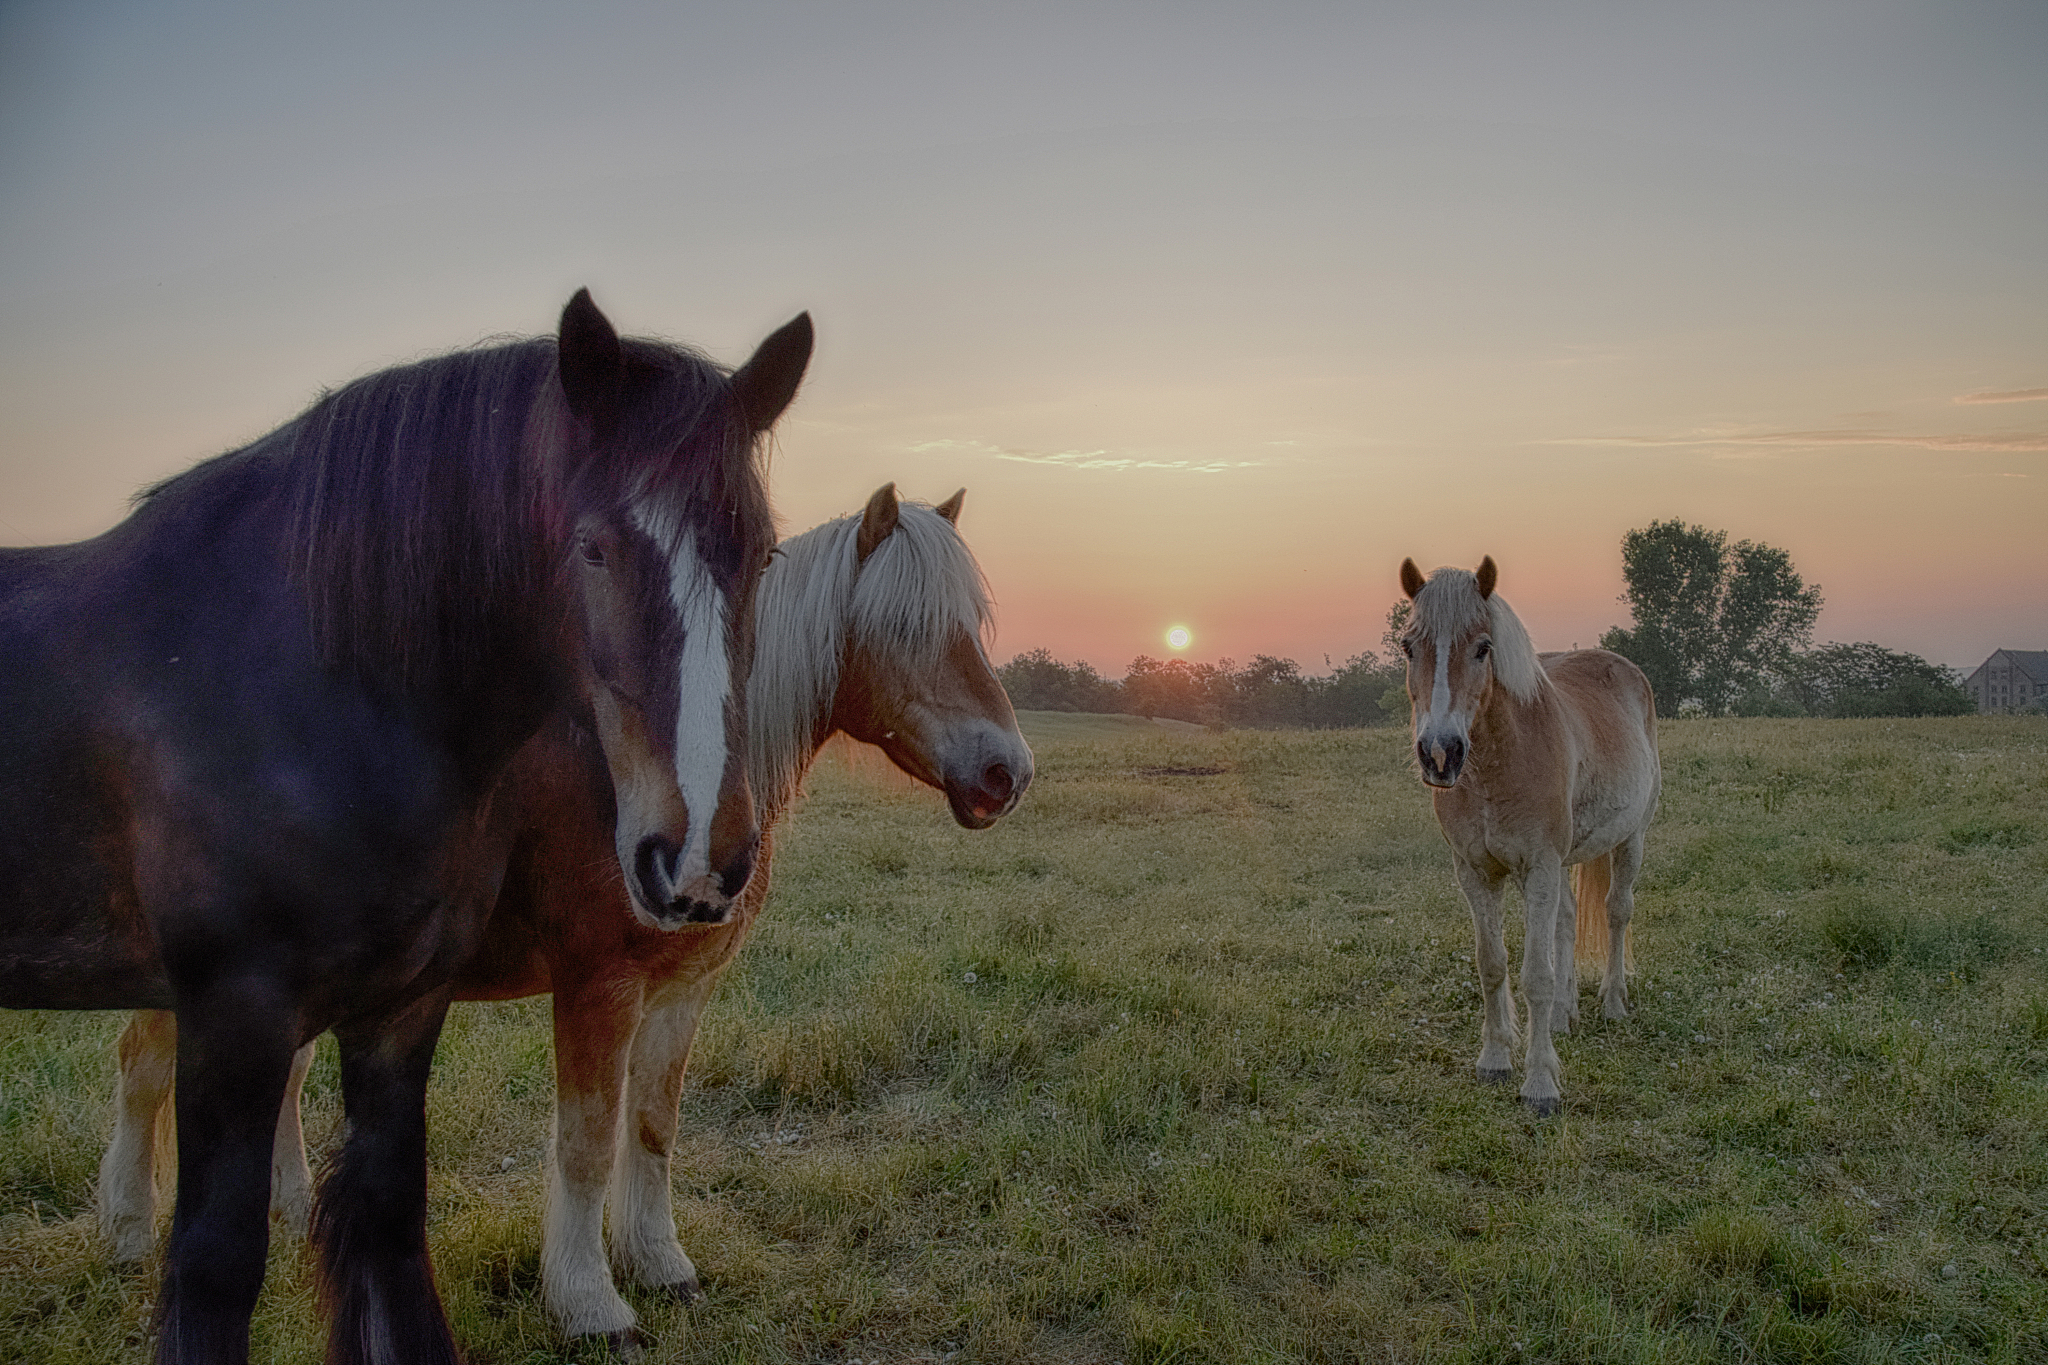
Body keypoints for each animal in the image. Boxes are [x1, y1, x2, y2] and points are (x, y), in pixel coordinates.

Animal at [0, 290, 808, 1365]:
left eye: (762, 552)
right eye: (592, 546)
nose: (700, 861)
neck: (306, 682)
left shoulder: (401, 1008)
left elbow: (388, 1224)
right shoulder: (234, 1012)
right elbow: (214, 1260)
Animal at [101, 483, 1033, 1349]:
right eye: (904, 625)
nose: (1007, 772)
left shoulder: (681, 992)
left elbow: (652, 1126)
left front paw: (662, 1265)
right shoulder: (598, 988)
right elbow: (587, 1142)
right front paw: (590, 1304)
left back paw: (291, 1214)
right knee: (144, 1067)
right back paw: (126, 1232)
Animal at [1397, 556, 1659, 1116]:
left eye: (1483, 647)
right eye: (1409, 647)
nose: (1439, 753)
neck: (1501, 761)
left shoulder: (1538, 866)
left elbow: (1535, 975)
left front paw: (1541, 1084)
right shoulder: (1477, 873)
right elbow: (1492, 965)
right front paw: (1495, 1059)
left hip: (1631, 840)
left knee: (1616, 912)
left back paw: (1613, 1003)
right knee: (1566, 920)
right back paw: (1563, 1016)